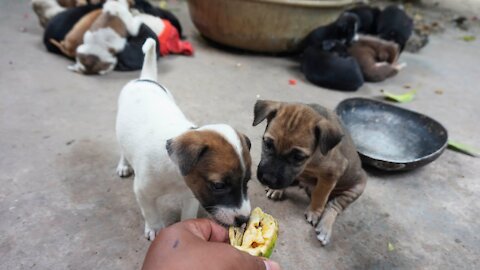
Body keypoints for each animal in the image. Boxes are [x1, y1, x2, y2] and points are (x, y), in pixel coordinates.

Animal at [253, 100, 366, 246]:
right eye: (267, 144)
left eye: (298, 157)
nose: (267, 179)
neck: (310, 161)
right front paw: (277, 189)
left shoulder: (333, 172)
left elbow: (320, 194)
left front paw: (314, 211)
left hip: (356, 188)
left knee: (334, 207)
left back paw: (325, 227)